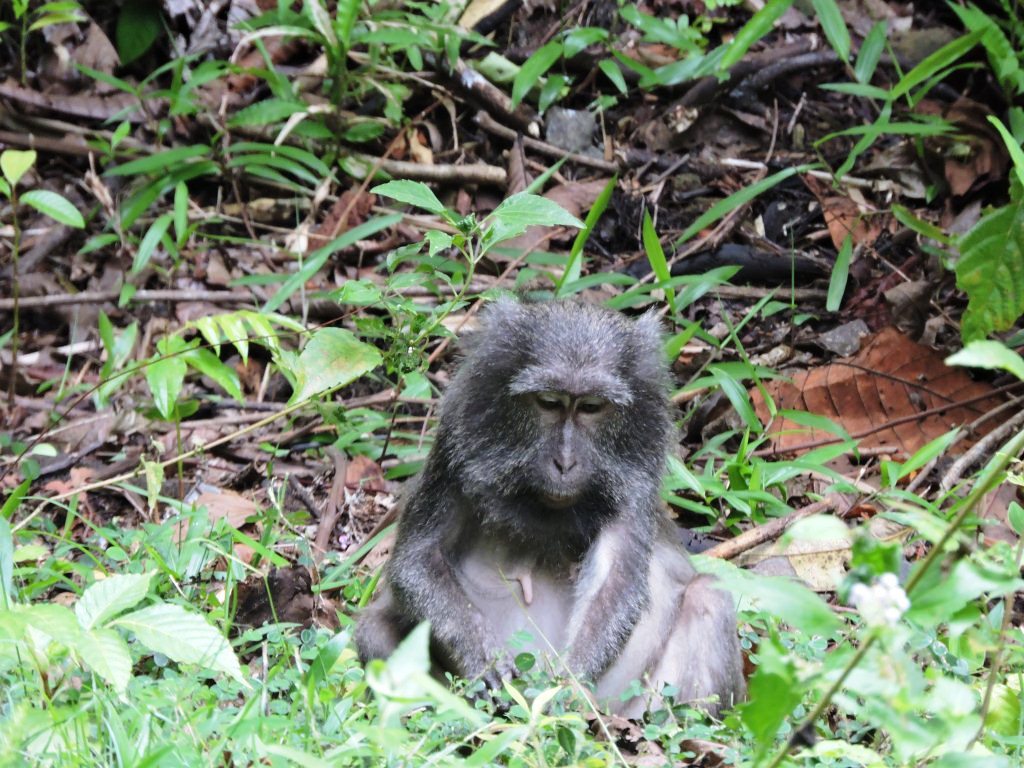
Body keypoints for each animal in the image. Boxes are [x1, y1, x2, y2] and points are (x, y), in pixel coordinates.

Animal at [355, 297, 745, 716]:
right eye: (548, 403)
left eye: (591, 406)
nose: (565, 462)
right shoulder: (457, 439)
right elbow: (416, 561)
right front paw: (484, 659)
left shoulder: (637, 471)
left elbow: (618, 580)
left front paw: (567, 687)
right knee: (373, 629)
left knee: (709, 596)